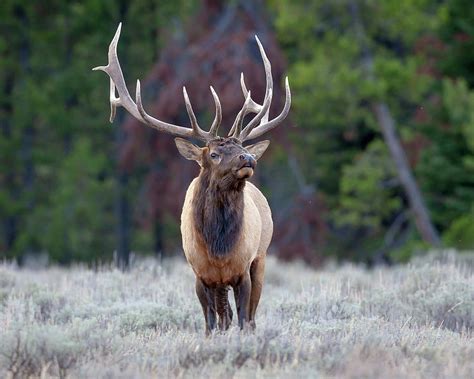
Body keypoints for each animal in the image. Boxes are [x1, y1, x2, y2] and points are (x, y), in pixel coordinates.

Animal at [93, 23, 288, 334]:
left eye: (241, 148)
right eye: (214, 154)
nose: (248, 158)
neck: (218, 249)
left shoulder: (243, 269)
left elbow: (244, 318)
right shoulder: (200, 274)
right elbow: (210, 322)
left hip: (262, 257)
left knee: (250, 315)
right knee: (224, 316)